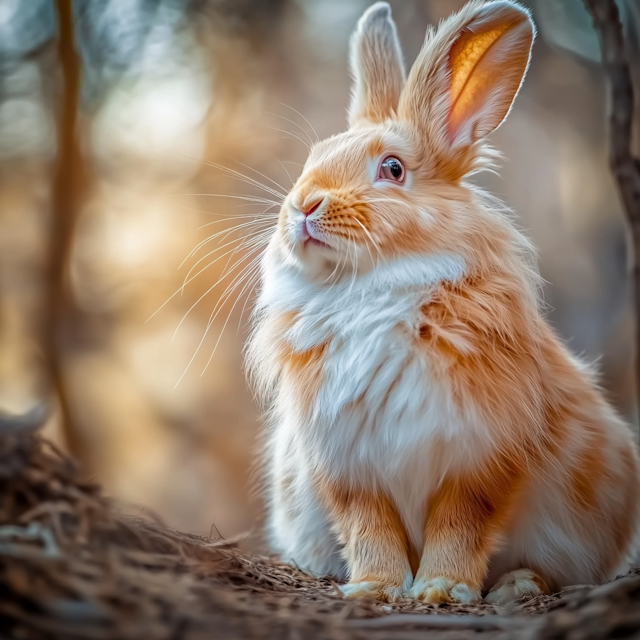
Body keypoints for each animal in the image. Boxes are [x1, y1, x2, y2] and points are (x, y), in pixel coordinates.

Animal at [245, 0, 640, 604]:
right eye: (313, 157)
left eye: (392, 168)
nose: (304, 205)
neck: (370, 287)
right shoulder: (347, 467)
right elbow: (370, 529)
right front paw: (375, 590)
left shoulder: (480, 460)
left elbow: (461, 524)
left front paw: (441, 590)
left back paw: (515, 587)